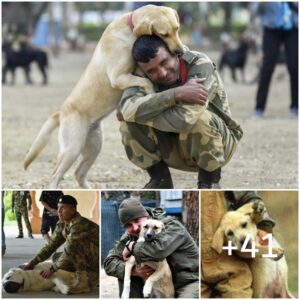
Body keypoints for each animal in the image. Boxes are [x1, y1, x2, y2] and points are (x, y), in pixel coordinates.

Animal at [24, 4, 183, 188]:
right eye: (164, 34)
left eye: (177, 29)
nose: (180, 51)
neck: (129, 29)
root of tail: (61, 113)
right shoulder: (118, 77)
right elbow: (146, 82)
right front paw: (151, 93)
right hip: (72, 148)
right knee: (55, 175)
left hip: (94, 145)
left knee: (79, 173)